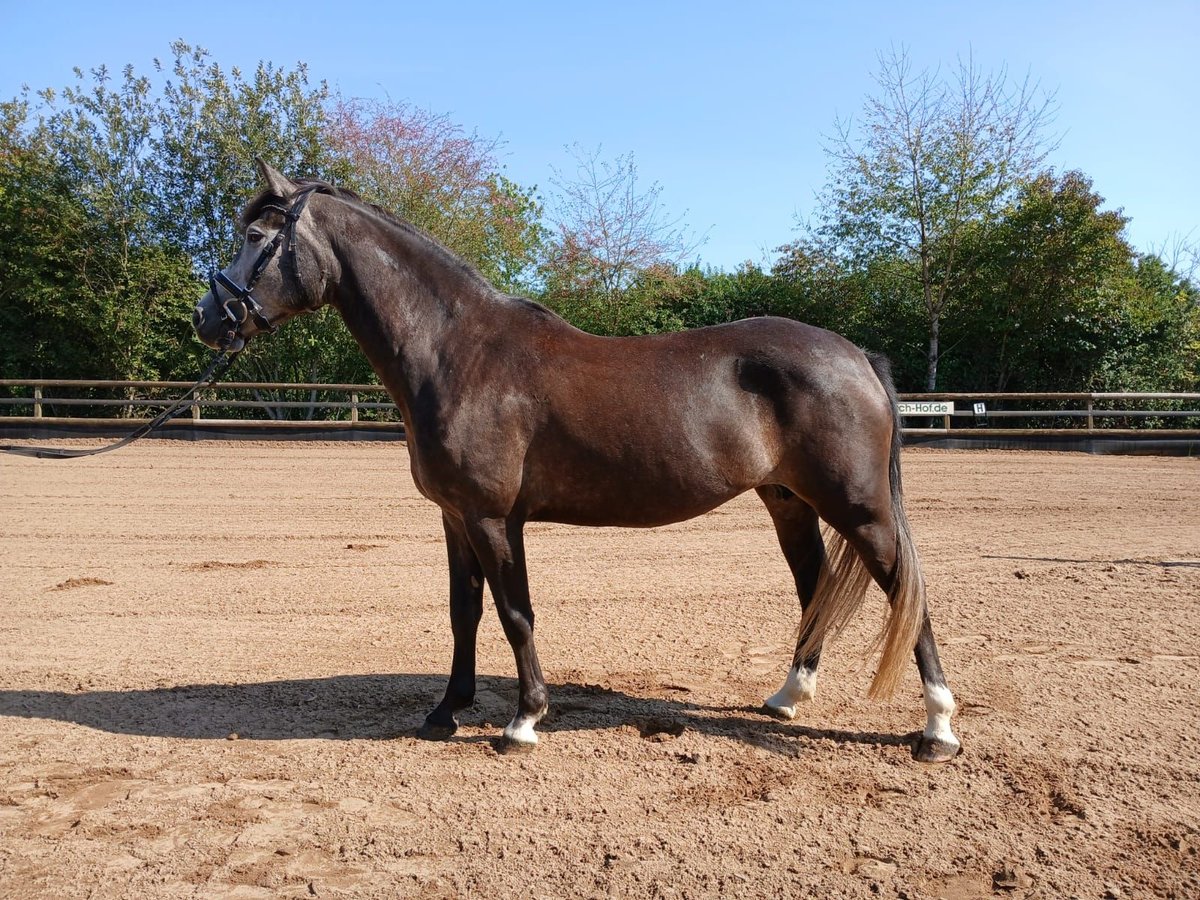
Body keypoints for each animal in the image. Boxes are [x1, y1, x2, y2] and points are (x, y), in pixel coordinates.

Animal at [192, 160, 960, 763]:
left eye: (256, 239)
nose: (208, 319)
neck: (459, 351)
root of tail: (854, 355)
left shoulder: (494, 519)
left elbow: (515, 613)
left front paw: (524, 720)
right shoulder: (454, 519)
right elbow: (463, 612)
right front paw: (445, 712)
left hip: (859, 509)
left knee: (906, 593)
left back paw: (937, 731)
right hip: (789, 502)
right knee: (815, 588)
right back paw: (788, 696)